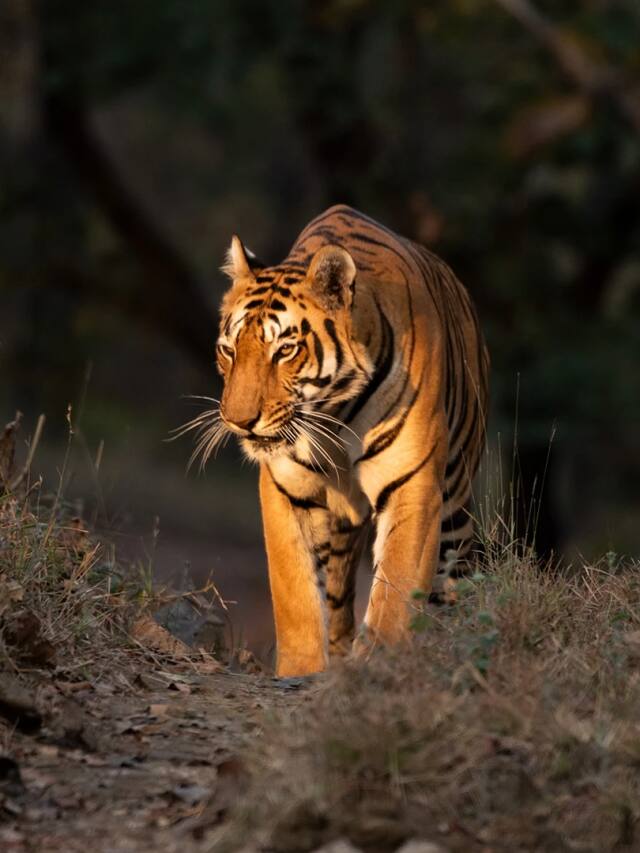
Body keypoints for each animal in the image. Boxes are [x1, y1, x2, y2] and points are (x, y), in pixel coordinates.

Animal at [210, 204, 489, 677]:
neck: (332, 415)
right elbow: (296, 597)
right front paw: (303, 671)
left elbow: (395, 590)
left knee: (453, 580)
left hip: (455, 500)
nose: (238, 421)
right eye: (229, 350)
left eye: (285, 351)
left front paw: (381, 665)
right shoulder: (285, 489)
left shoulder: (412, 485)